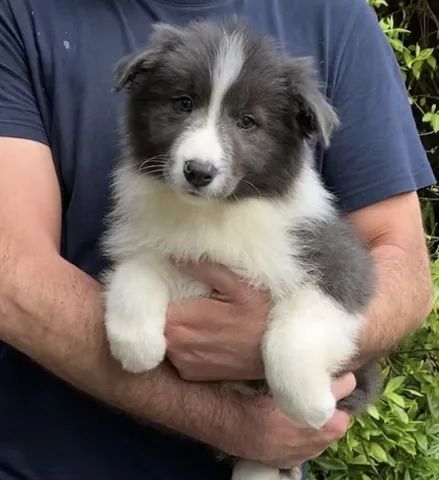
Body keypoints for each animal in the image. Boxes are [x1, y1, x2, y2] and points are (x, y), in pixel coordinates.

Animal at [104, 21, 382, 480]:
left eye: (248, 122)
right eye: (183, 103)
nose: (198, 171)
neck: (217, 214)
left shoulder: (339, 262)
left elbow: (295, 330)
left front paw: (311, 405)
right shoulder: (151, 240)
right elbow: (136, 271)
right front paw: (136, 346)